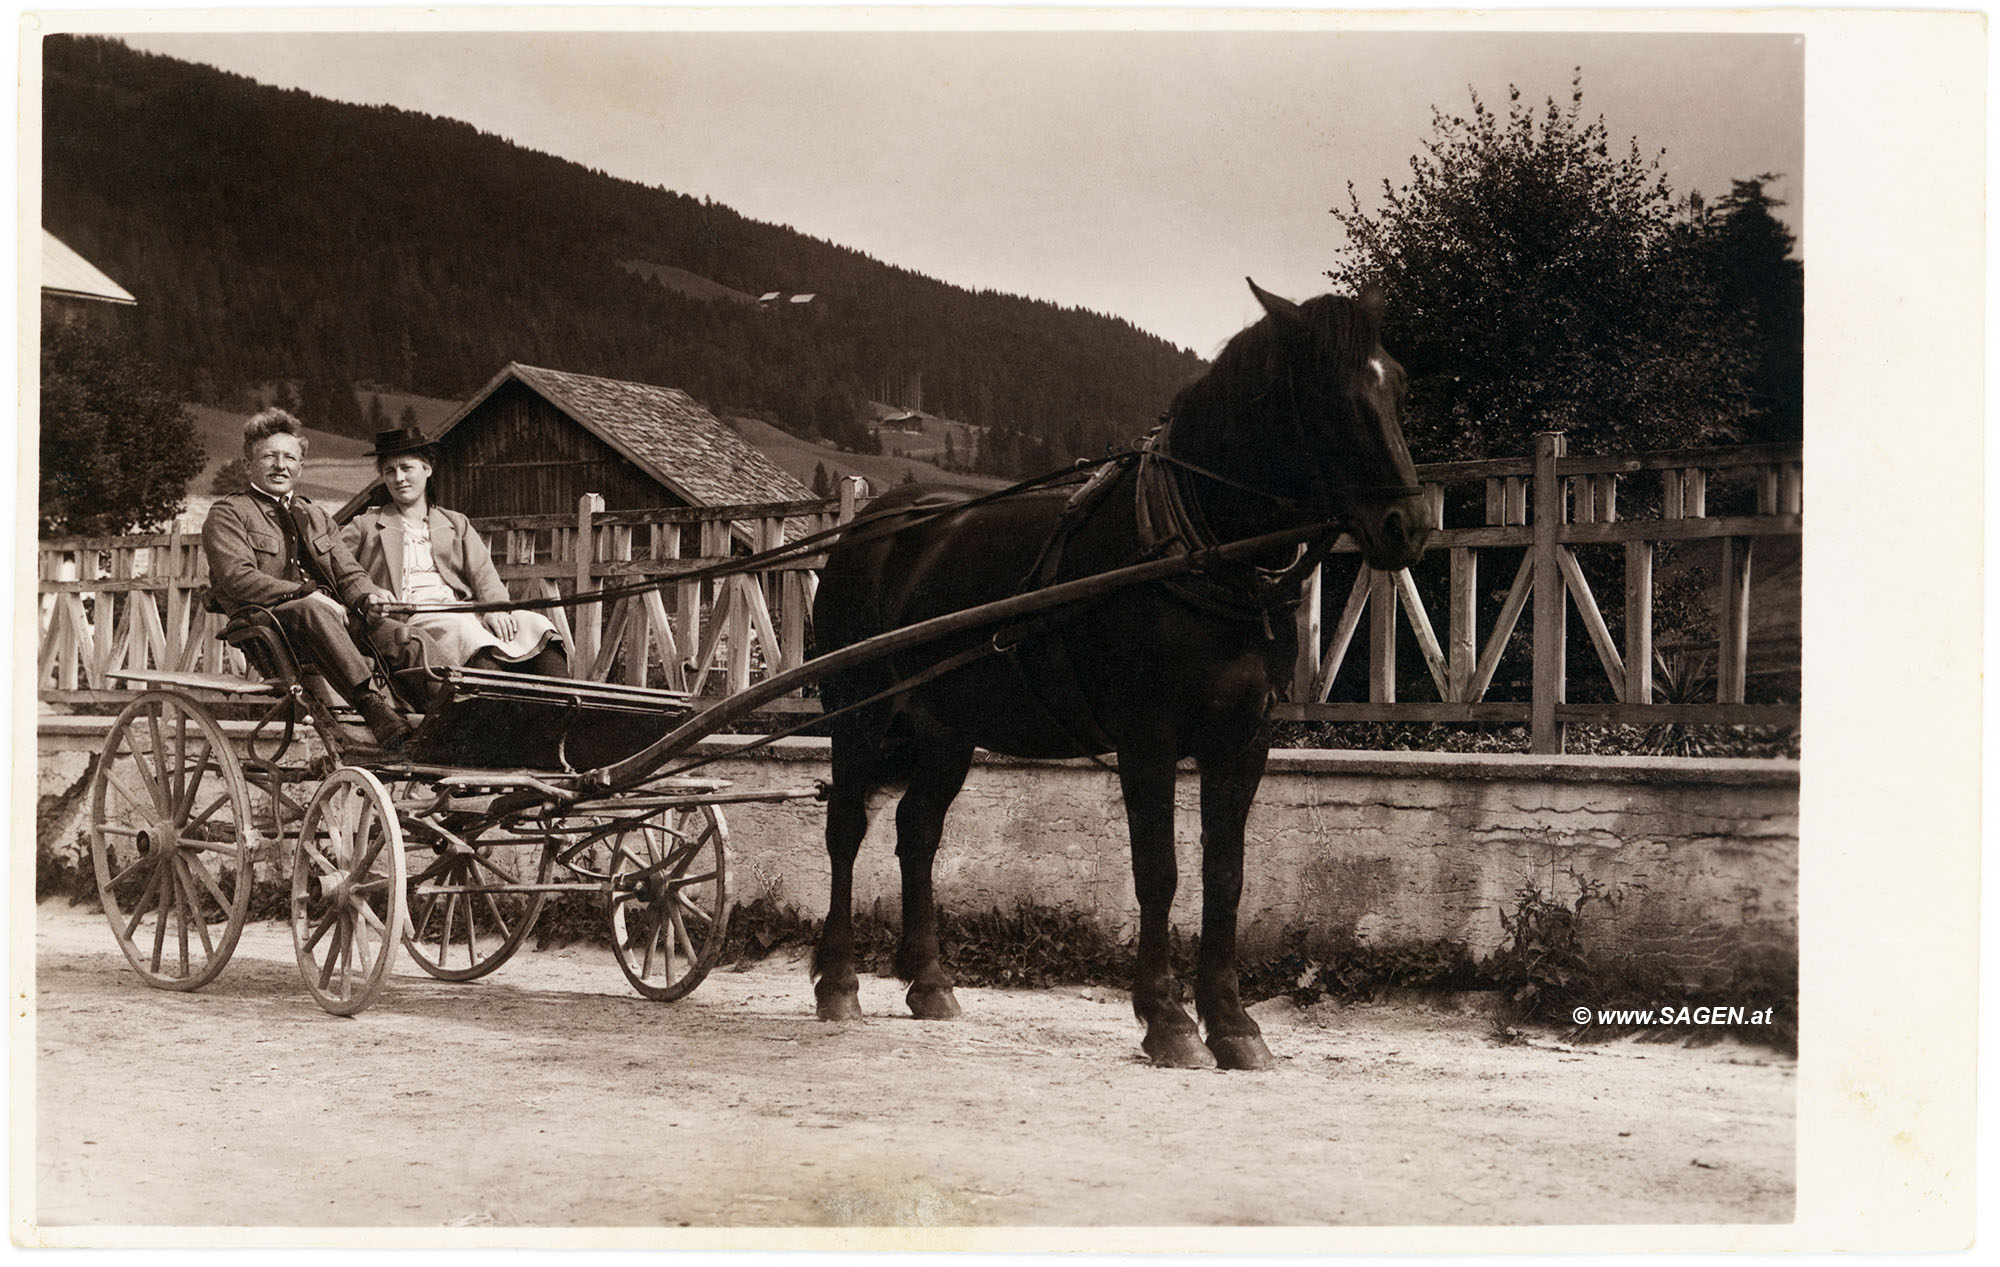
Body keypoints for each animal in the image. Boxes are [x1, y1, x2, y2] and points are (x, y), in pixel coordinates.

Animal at [804, 277, 1432, 1063]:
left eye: (1398, 384)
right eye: (1328, 394)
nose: (1408, 527)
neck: (1196, 557)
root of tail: (873, 524)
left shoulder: (1243, 741)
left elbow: (1226, 875)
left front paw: (1233, 1022)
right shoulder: (1147, 737)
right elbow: (1158, 871)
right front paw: (1167, 1018)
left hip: (947, 728)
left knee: (916, 830)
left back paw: (930, 982)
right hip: (860, 710)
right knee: (845, 829)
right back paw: (837, 983)